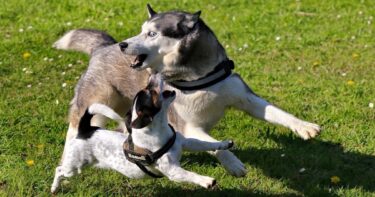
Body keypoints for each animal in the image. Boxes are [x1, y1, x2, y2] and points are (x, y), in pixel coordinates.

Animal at [54, 4, 322, 177]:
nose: (124, 45)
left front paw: (304, 126)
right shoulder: (188, 125)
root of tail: (103, 46)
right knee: (76, 128)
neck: (199, 78)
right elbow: (213, 144)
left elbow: (276, 112)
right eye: (142, 30)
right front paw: (233, 163)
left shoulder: (245, 97)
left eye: (152, 33)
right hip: (94, 103)